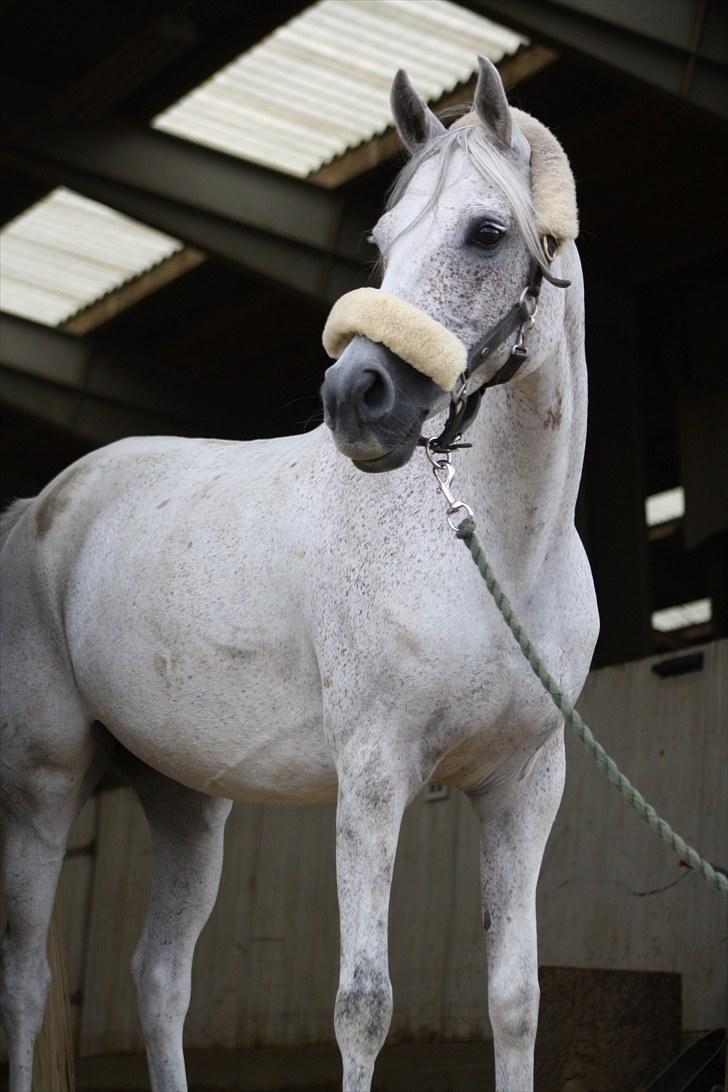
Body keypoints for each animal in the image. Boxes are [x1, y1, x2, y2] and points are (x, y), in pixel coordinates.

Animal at [0, 57, 598, 1092]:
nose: (357, 395)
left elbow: (516, 1001)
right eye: (381, 245)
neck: (503, 557)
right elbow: (364, 1006)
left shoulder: (526, 785)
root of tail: (36, 507)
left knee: (159, 976)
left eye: (485, 232)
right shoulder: (374, 775)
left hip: (186, 799)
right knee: (28, 983)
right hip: (44, 785)